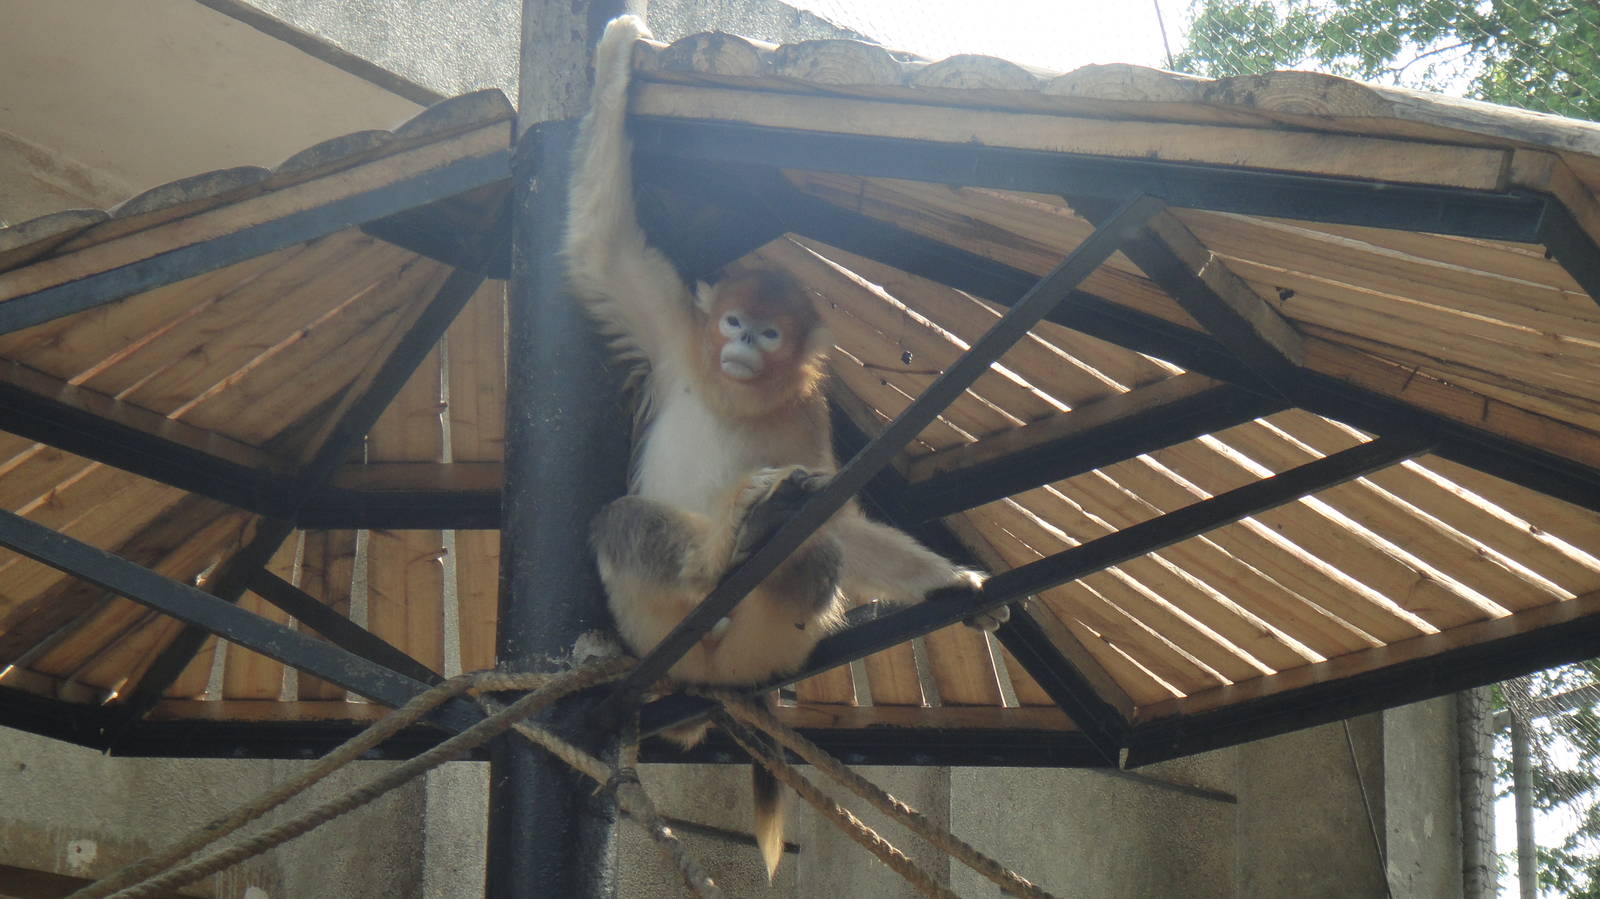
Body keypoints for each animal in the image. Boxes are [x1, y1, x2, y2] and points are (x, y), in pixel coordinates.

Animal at [565, 15, 1000, 878]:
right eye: (733, 322)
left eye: (769, 334)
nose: (740, 345)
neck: (737, 391)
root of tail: (714, 680)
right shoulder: (674, 333)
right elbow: (603, 245)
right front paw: (619, 59)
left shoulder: (809, 419)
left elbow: (837, 521)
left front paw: (953, 582)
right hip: (657, 630)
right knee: (625, 523)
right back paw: (715, 556)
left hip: (768, 645)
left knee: (813, 548)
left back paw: (756, 535)